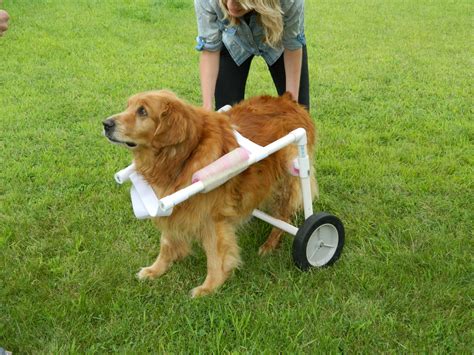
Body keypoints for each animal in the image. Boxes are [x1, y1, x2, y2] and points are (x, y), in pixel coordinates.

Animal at [102, 89, 316, 298]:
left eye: (142, 111)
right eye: (128, 106)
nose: (105, 124)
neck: (183, 156)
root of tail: (287, 99)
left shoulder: (212, 218)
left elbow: (215, 257)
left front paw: (209, 287)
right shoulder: (170, 207)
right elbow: (166, 242)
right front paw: (156, 269)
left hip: (287, 181)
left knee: (283, 218)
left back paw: (272, 244)